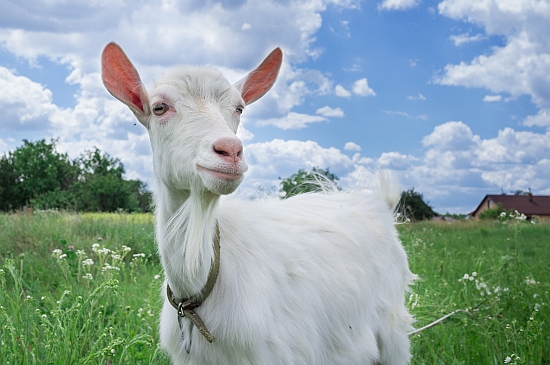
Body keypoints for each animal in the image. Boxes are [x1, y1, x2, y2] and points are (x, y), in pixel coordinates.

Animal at [101, 43, 416, 364]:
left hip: (392, 330)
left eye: (239, 108)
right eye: (160, 107)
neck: (197, 290)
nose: (230, 150)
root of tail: (380, 205)